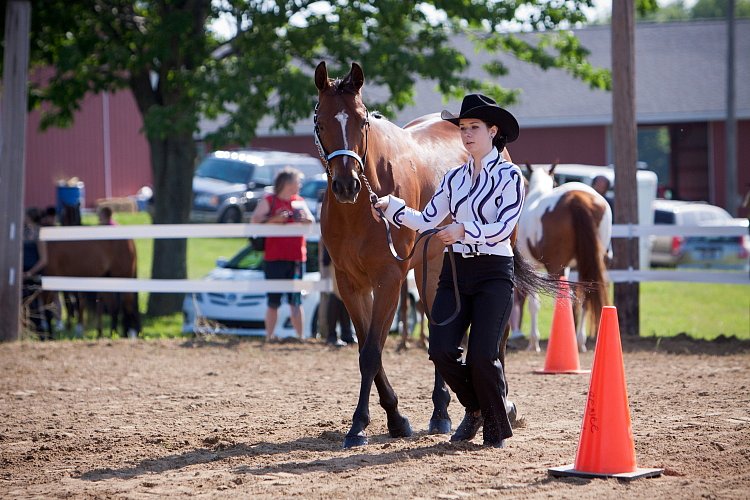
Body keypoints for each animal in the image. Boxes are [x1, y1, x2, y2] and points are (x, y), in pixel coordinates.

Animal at [314, 61, 556, 450]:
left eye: (363, 121)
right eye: (321, 122)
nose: (348, 185)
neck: (359, 212)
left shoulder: (389, 280)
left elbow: (371, 353)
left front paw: (360, 426)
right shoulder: (350, 283)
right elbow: (369, 348)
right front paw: (395, 419)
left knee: (498, 335)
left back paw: (503, 405)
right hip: (433, 270)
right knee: (441, 335)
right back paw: (441, 412)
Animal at [516, 164, 612, 352]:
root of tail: (576, 197)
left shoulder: (533, 266)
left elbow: (534, 304)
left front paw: (534, 342)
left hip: (556, 267)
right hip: (588, 264)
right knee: (585, 297)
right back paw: (580, 341)